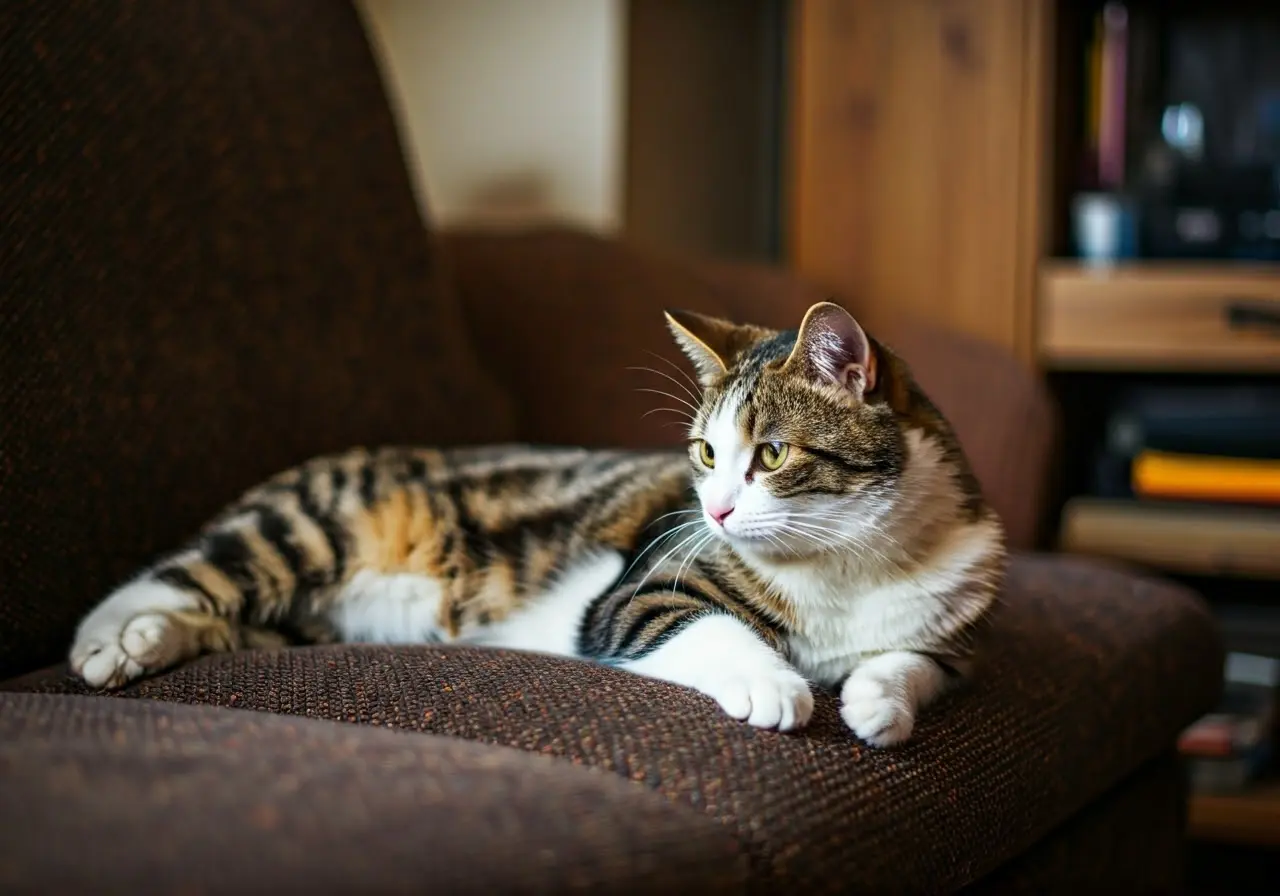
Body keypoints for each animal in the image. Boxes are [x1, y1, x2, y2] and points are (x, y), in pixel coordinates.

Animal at [70, 304, 1003, 747]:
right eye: (706, 452)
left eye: (771, 454)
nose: (715, 509)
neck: (847, 562)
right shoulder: (634, 593)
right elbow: (705, 623)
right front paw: (775, 686)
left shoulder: (956, 622)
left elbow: (919, 664)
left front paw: (877, 703)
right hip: (319, 524)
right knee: (191, 570)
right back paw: (113, 639)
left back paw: (152, 642)